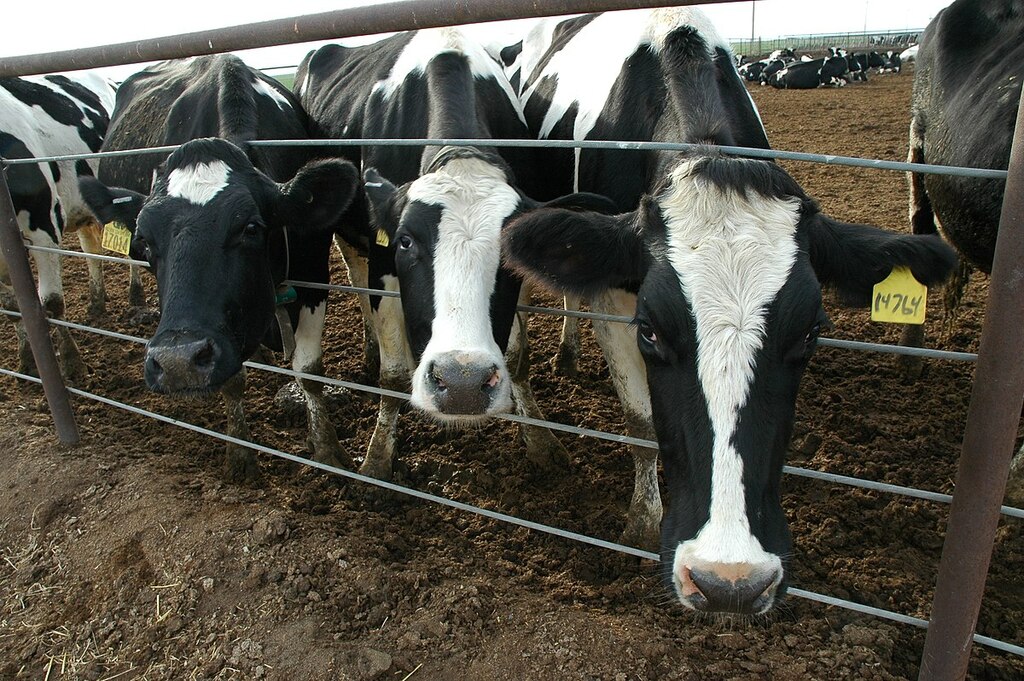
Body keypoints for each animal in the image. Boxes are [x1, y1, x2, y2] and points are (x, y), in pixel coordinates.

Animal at [0, 72, 116, 381]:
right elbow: (12, 308)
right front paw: (27, 361)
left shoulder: (44, 223)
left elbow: (51, 302)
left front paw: (72, 363)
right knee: (91, 249)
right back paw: (97, 301)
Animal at [78, 55, 359, 480]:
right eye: (144, 241)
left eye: (251, 228)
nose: (177, 362)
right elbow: (233, 380)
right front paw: (240, 454)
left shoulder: (313, 271)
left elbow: (309, 369)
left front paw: (327, 450)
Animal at [293, 28, 605, 480]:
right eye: (406, 241)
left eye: (507, 249)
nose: (461, 384)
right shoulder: (384, 264)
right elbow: (393, 375)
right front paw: (377, 461)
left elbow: (518, 357)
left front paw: (541, 441)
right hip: (345, 232)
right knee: (354, 273)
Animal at [505, 7, 957, 614]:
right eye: (650, 331)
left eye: (812, 333)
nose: (729, 580)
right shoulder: (616, 295)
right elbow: (641, 419)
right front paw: (643, 520)